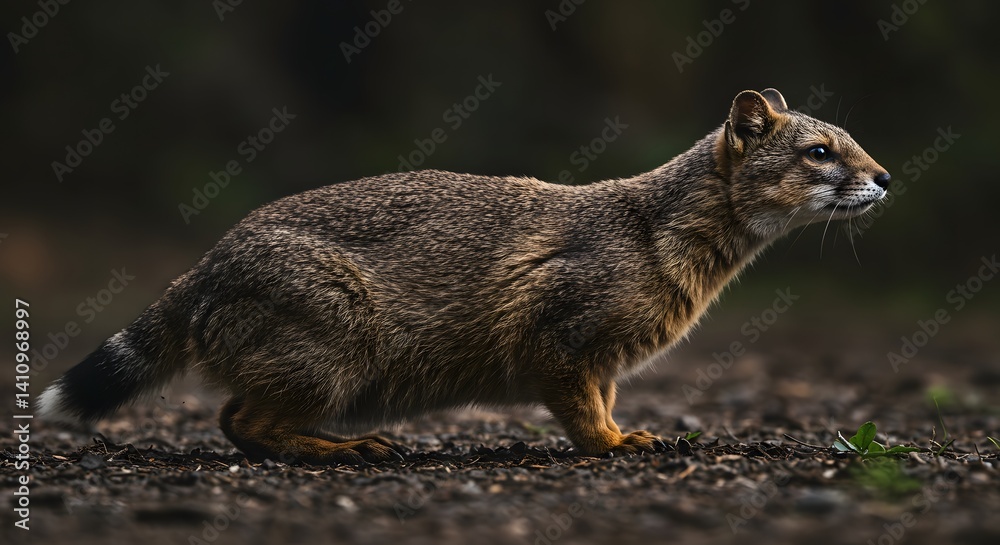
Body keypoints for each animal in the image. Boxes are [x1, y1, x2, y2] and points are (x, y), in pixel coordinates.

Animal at [39, 88, 889, 464]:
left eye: (851, 141)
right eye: (820, 152)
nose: (886, 177)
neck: (652, 230)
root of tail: (207, 264)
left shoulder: (602, 359)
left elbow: (604, 401)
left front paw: (623, 432)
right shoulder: (559, 337)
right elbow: (587, 418)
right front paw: (616, 444)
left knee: (236, 420)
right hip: (335, 350)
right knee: (242, 423)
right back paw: (346, 447)